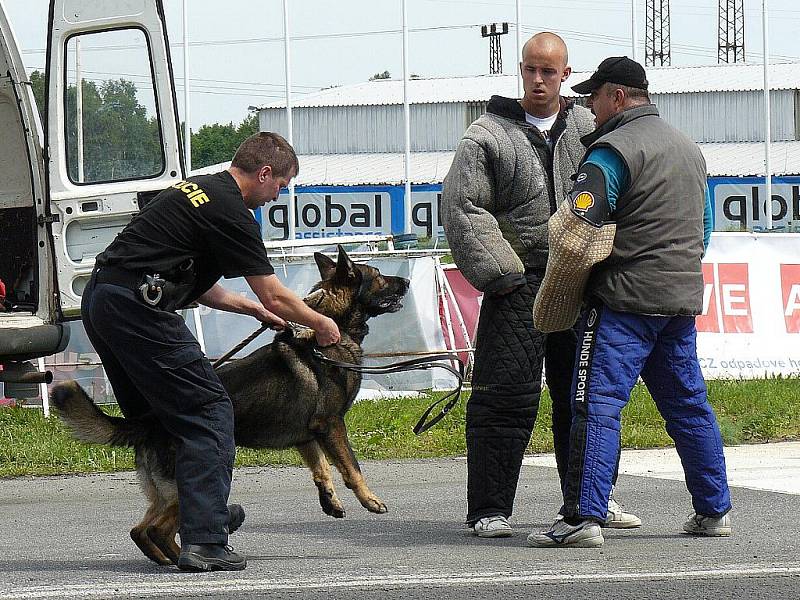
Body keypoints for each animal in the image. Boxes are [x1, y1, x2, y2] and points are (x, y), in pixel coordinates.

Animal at [53, 246, 410, 564]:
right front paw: (371, 500)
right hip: (182, 486)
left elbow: (321, 469)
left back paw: (173, 558)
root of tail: (149, 420)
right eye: (379, 275)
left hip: (163, 492)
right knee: (156, 529)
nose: (406, 282)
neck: (331, 326)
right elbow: (351, 468)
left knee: (141, 530)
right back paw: (192, 558)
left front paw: (330, 501)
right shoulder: (331, 424)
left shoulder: (307, 436)